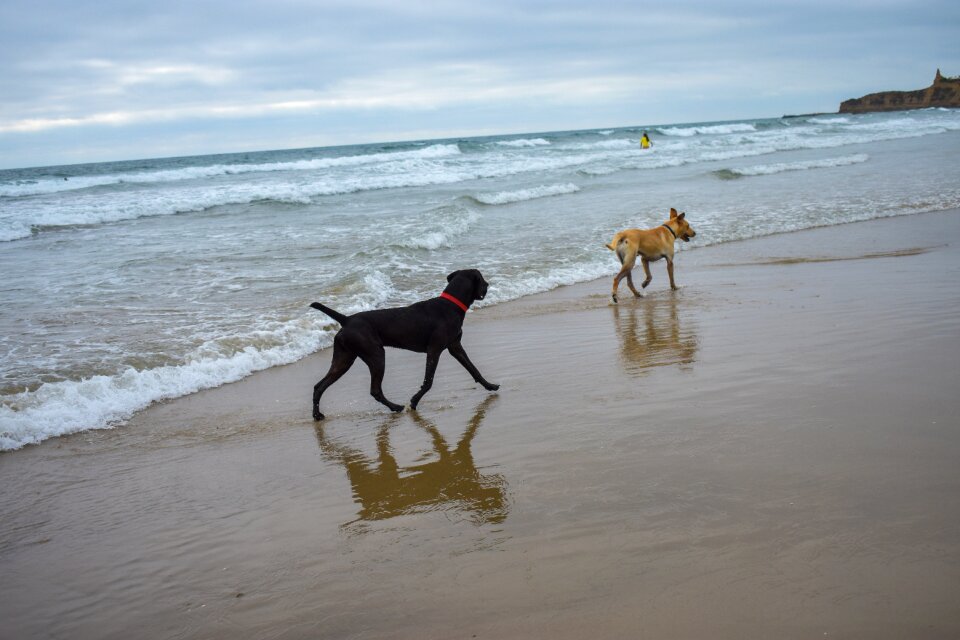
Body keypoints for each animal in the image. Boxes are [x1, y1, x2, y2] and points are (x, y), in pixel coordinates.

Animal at [310, 268, 502, 420]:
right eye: (482, 279)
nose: (488, 285)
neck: (451, 305)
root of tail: (347, 319)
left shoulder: (455, 347)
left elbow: (473, 369)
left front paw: (490, 385)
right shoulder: (434, 350)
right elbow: (428, 381)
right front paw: (414, 401)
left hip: (344, 358)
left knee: (319, 386)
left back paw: (317, 415)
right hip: (376, 355)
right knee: (375, 390)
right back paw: (396, 407)